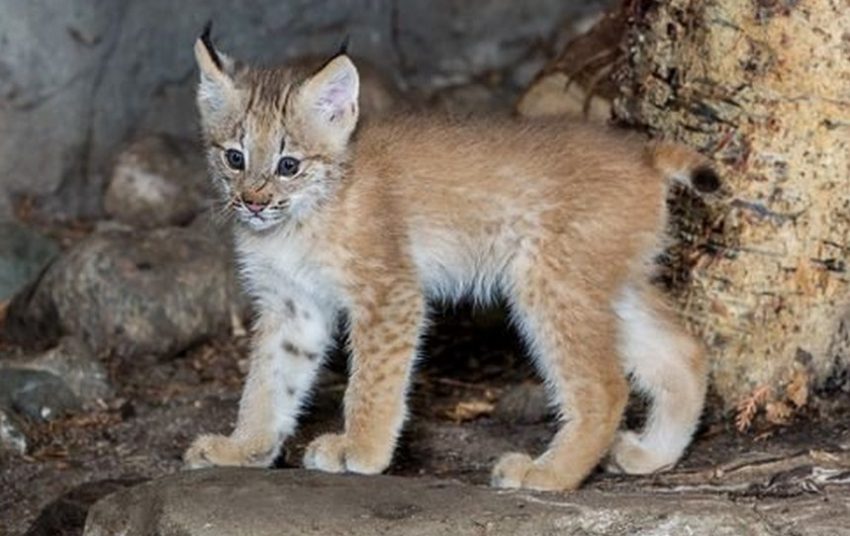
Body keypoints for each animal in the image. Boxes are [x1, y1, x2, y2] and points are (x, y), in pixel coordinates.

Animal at [184, 25, 716, 491]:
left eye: (288, 165)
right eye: (234, 158)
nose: (253, 203)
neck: (293, 222)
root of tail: (641, 153)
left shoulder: (391, 291)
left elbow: (372, 379)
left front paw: (362, 450)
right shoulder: (292, 303)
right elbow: (269, 381)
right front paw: (243, 449)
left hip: (546, 281)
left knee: (607, 386)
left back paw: (549, 474)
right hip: (602, 282)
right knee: (685, 351)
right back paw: (652, 454)